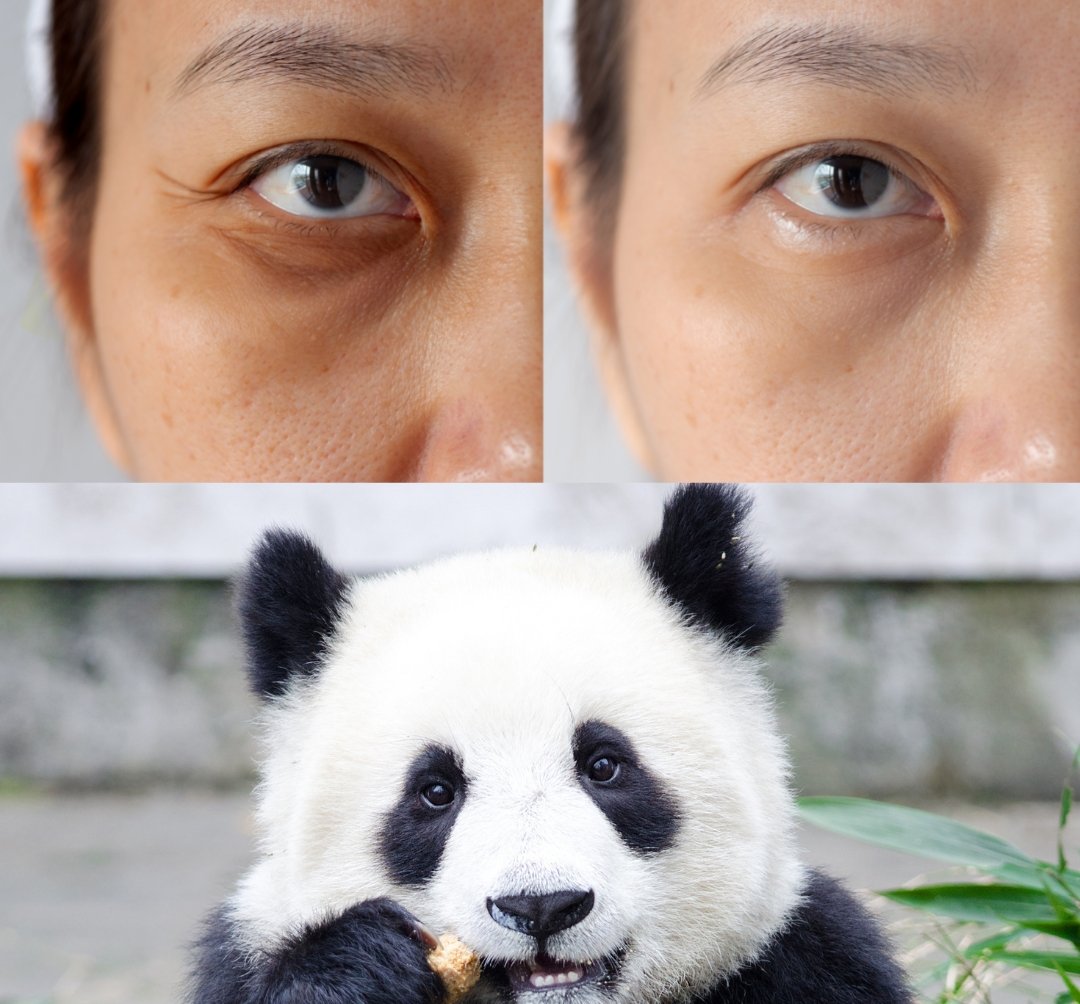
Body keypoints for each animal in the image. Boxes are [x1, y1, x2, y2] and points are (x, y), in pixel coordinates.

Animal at [189, 484, 912, 1004]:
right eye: (435, 791)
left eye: (604, 765)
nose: (540, 907)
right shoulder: (247, 950)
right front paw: (360, 968)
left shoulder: (799, 957)